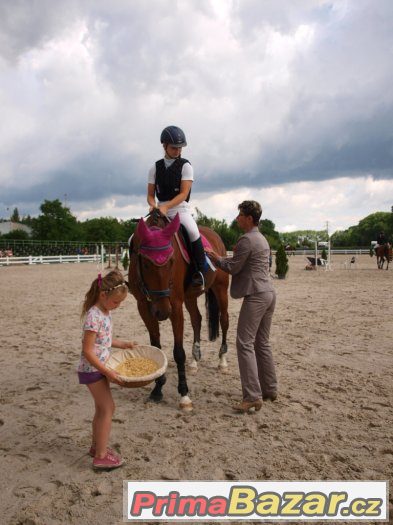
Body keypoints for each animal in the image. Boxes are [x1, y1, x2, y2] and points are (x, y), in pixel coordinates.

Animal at [127, 209, 228, 410]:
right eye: (146, 263)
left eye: (172, 261)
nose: (162, 312)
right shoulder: (143, 307)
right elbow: (156, 347)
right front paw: (157, 389)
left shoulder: (175, 305)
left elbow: (178, 352)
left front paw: (184, 395)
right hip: (190, 297)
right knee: (197, 320)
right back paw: (195, 362)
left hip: (220, 289)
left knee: (224, 320)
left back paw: (222, 361)